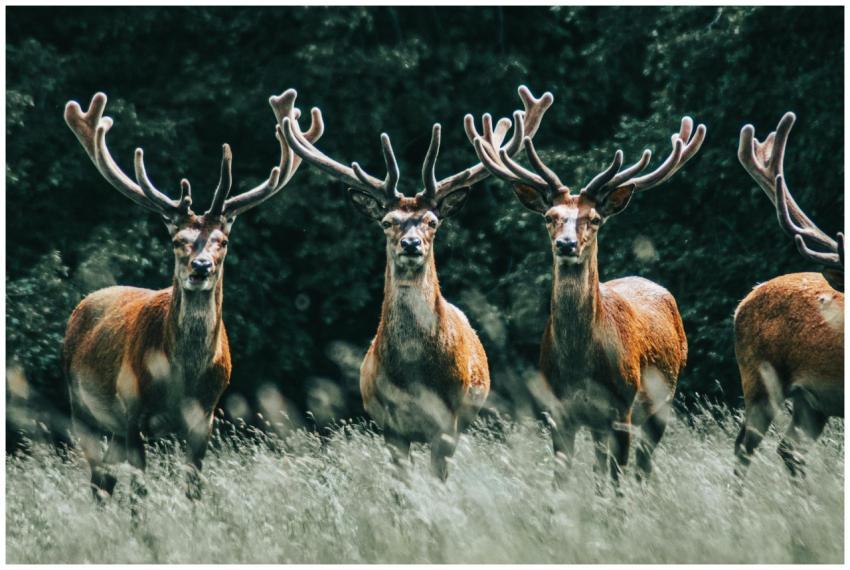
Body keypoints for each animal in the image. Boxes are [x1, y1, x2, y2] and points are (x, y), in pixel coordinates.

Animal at [62, 89, 323, 500]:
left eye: (223, 241)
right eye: (176, 240)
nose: (201, 267)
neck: (180, 381)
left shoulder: (206, 415)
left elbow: (193, 485)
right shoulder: (131, 409)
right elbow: (139, 490)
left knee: (105, 476)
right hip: (82, 406)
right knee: (99, 477)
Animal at [281, 86, 553, 480]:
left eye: (432, 221)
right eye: (387, 222)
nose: (411, 244)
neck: (414, 375)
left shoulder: (447, 422)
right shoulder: (391, 426)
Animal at [470, 116, 705, 487]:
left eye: (594, 219)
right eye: (550, 216)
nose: (566, 244)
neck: (580, 365)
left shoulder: (621, 408)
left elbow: (617, 482)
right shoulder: (559, 411)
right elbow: (561, 481)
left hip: (662, 401)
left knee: (642, 466)